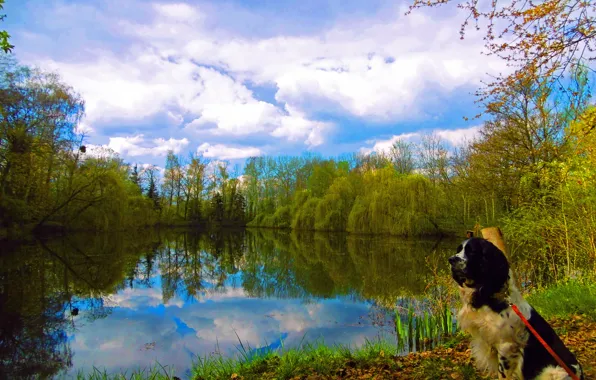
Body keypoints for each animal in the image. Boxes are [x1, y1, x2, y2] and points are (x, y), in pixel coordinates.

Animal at [448, 238, 584, 380]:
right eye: (459, 250)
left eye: (472, 251)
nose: (451, 259)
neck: (491, 297)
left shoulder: (506, 347)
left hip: (554, 372)